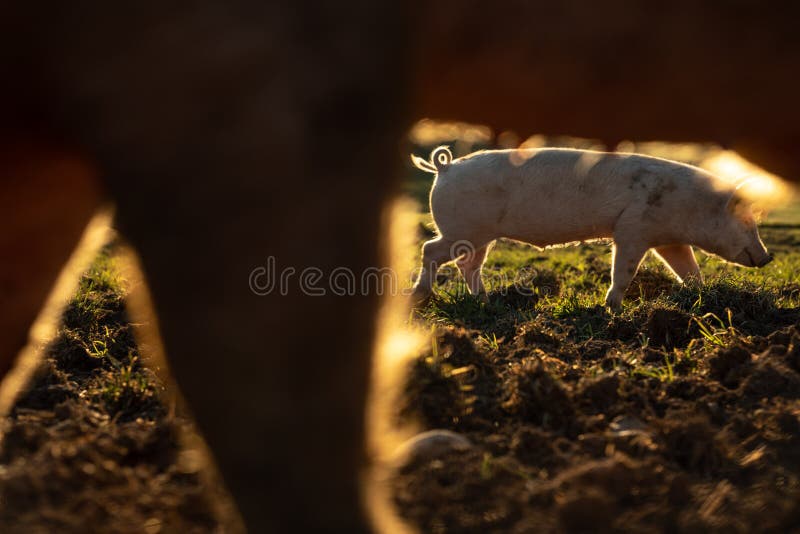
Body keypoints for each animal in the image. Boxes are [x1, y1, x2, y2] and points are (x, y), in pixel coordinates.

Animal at [411, 146, 772, 310]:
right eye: (746, 222)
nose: (767, 258)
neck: (688, 206)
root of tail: (444, 169)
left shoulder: (668, 240)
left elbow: (689, 269)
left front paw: (702, 295)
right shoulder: (632, 229)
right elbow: (624, 270)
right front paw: (612, 308)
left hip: (478, 237)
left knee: (468, 265)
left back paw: (486, 301)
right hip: (462, 231)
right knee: (430, 250)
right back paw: (419, 298)